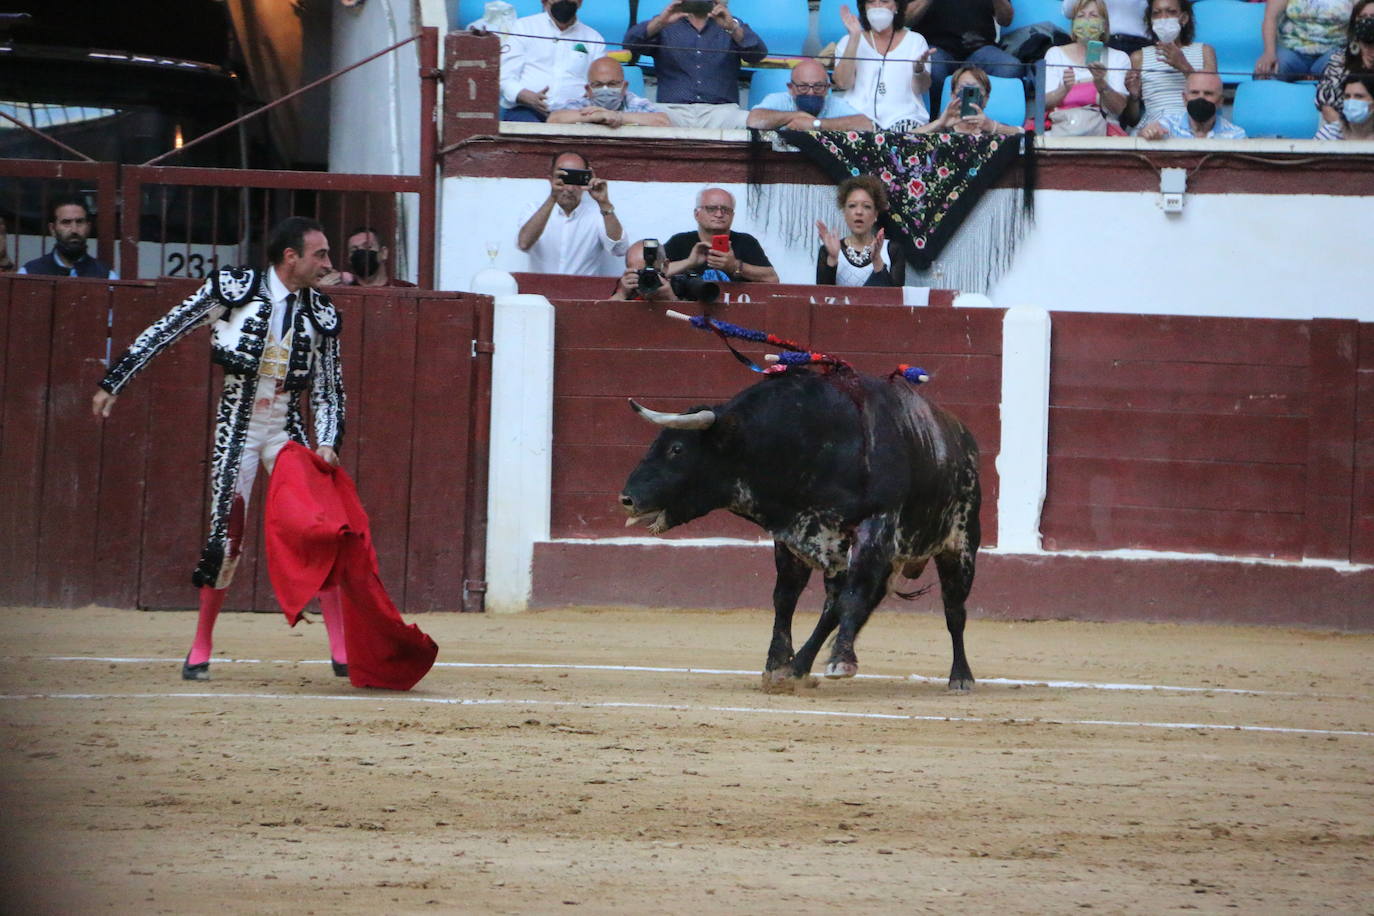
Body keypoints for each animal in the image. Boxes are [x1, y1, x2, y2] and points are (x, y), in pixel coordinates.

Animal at [618, 368, 983, 692]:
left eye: (677, 449)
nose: (627, 498)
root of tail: (963, 437)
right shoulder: (795, 534)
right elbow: (786, 598)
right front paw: (777, 665)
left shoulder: (875, 528)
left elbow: (852, 596)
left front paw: (840, 662)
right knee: (843, 604)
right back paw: (801, 666)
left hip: (960, 545)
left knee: (953, 610)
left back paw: (960, 677)